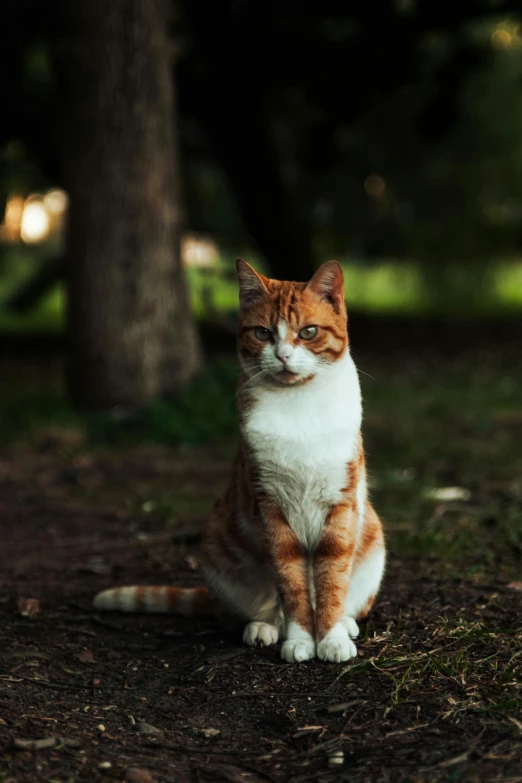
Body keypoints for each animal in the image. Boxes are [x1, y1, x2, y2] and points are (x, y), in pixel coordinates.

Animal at [93, 262, 384, 660]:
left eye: (308, 332)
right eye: (263, 333)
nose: (283, 356)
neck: (299, 407)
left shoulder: (340, 504)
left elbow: (332, 579)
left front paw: (331, 638)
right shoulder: (270, 506)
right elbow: (291, 583)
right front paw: (300, 639)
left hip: (372, 534)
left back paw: (346, 624)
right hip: (218, 543)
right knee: (252, 610)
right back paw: (262, 628)